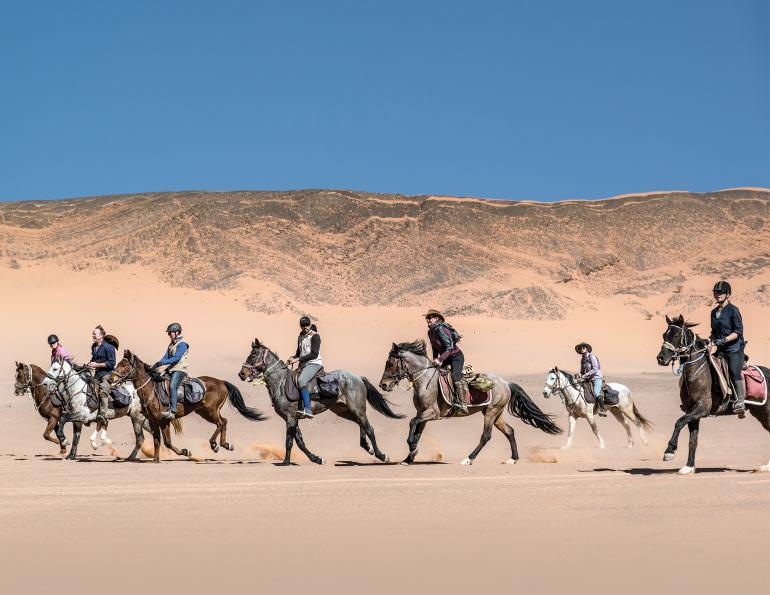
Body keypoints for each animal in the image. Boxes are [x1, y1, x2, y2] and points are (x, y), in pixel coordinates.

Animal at [110, 349, 266, 463]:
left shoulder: (164, 420)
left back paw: (217, 445)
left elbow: (167, 442)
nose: (111, 379)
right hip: (204, 412)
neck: (151, 390)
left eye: (124, 364)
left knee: (222, 422)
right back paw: (223, 445)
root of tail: (221, 382)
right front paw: (155, 460)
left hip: (211, 411)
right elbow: (157, 441)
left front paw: (186, 452)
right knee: (223, 422)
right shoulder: (154, 421)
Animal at [238, 338, 403, 465]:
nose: (241, 374)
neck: (281, 382)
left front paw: (285, 462)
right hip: (344, 410)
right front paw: (317, 459)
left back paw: (382, 455)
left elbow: (289, 441)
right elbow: (300, 442)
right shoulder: (292, 418)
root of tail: (358, 377)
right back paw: (367, 447)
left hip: (357, 408)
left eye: (253, 355)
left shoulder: (290, 418)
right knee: (360, 424)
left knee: (369, 429)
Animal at [379, 340, 562, 465]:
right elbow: (417, 431)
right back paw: (513, 459)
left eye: (391, 363)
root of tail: (506, 383)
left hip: (491, 412)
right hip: (496, 413)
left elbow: (412, 423)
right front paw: (409, 457)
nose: (383, 385)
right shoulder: (422, 413)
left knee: (486, 436)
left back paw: (468, 458)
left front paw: (411, 447)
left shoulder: (433, 413)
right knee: (509, 431)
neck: (424, 380)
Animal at [657, 314, 770, 474]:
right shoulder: (692, 411)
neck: (696, 372)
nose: (661, 358)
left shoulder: (702, 408)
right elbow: (693, 440)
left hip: (766, 411)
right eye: (664, 335)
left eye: (677, 335)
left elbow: (678, 422)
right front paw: (689, 467)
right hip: (760, 412)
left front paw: (669, 451)